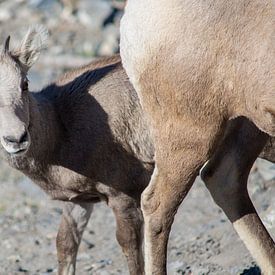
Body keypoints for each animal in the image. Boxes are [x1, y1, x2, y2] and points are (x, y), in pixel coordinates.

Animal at [0, 26, 155, 275]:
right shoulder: (78, 202)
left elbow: (130, 249)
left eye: (24, 83)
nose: (16, 139)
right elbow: (65, 244)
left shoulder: (124, 196)